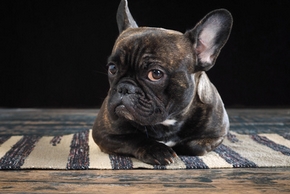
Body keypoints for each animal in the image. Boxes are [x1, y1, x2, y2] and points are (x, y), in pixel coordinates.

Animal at [93, 0, 233, 164]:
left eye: (156, 74)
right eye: (112, 68)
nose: (124, 88)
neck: (169, 121)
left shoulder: (217, 134)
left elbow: (194, 146)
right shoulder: (103, 133)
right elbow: (133, 138)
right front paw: (157, 150)